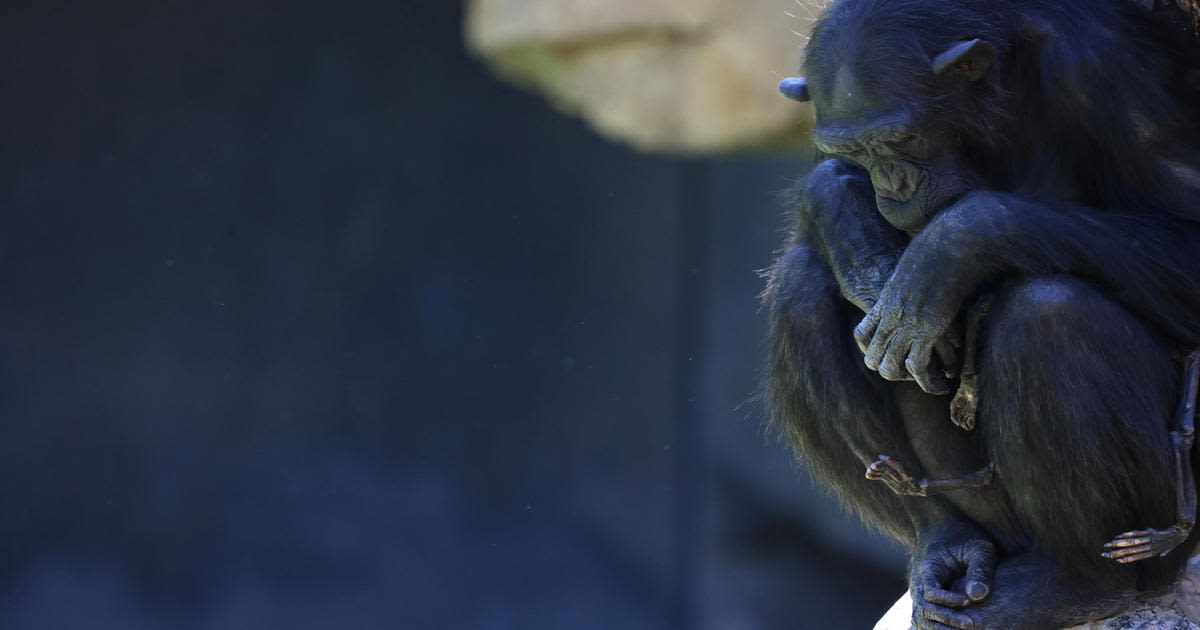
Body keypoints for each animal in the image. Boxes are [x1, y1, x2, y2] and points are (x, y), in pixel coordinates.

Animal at [763, 1, 1200, 628]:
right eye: (856, 151)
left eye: (900, 137)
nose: (893, 184)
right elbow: (824, 207)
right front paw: (856, 235)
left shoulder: (1104, 73)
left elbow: (1186, 233)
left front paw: (952, 246)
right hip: (982, 509)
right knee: (800, 290)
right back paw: (944, 540)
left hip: (1169, 525)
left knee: (1049, 315)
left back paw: (1079, 584)